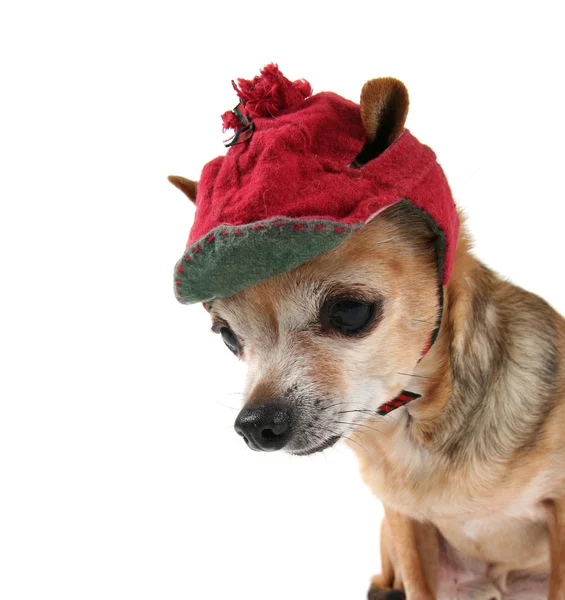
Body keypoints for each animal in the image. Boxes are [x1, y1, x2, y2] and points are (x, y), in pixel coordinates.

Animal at [171, 69, 564, 596]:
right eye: (228, 336)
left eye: (351, 312)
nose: (255, 424)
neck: (416, 425)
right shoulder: (404, 521)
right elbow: (418, 582)